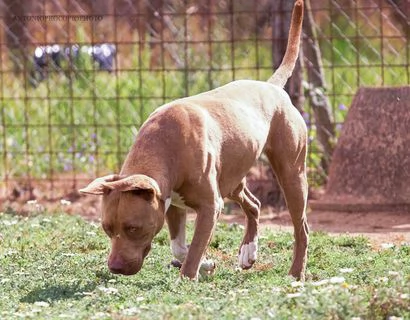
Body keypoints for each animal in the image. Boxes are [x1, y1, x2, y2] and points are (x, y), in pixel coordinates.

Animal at [81, 0, 310, 280]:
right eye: (106, 228)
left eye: (133, 228)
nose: (114, 267)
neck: (165, 148)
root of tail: (271, 87)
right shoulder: (172, 206)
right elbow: (181, 248)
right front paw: (207, 264)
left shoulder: (210, 206)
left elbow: (194, 248)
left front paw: (188, 277)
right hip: (232, 178)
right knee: (254, 205)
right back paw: (248, 252)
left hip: (291, 175)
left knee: (301, 227)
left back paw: (296, 274)